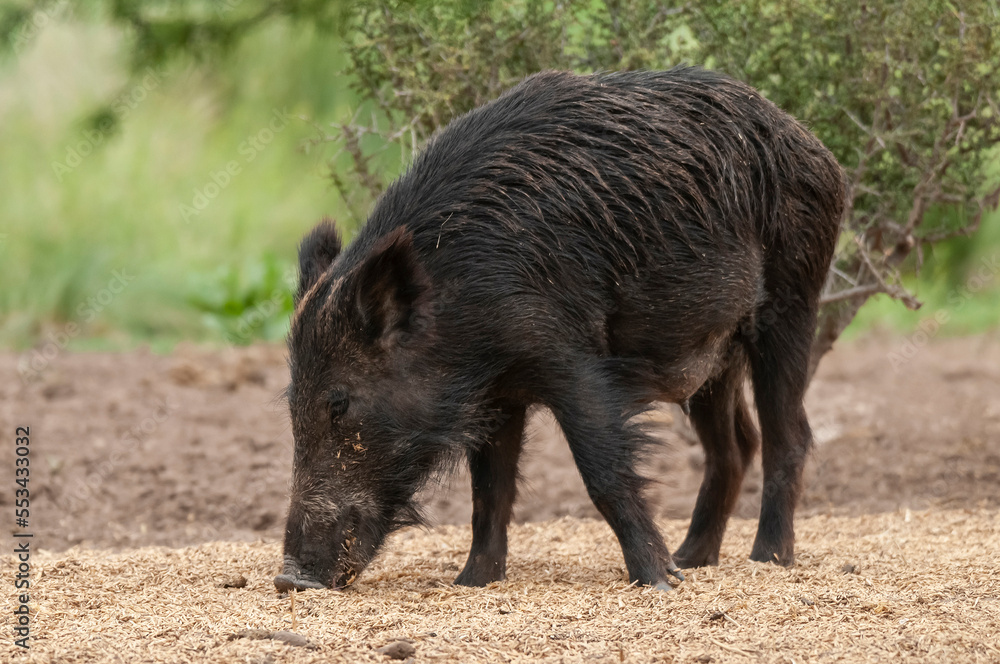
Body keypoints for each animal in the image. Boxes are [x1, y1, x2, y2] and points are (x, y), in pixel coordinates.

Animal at [273, 66, 845, 593]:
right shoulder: (498, 394)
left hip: (793, 297)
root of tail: (815, 147)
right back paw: (695, 560)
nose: (290, 579)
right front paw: (472, 583)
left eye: (339, 402)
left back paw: (767, 560)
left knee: (789, 435)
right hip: (713, 354)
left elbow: (602, 471)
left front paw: (657, 583)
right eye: (290, 403)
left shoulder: (569, 359)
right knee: (735, 445)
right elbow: (489, 490)